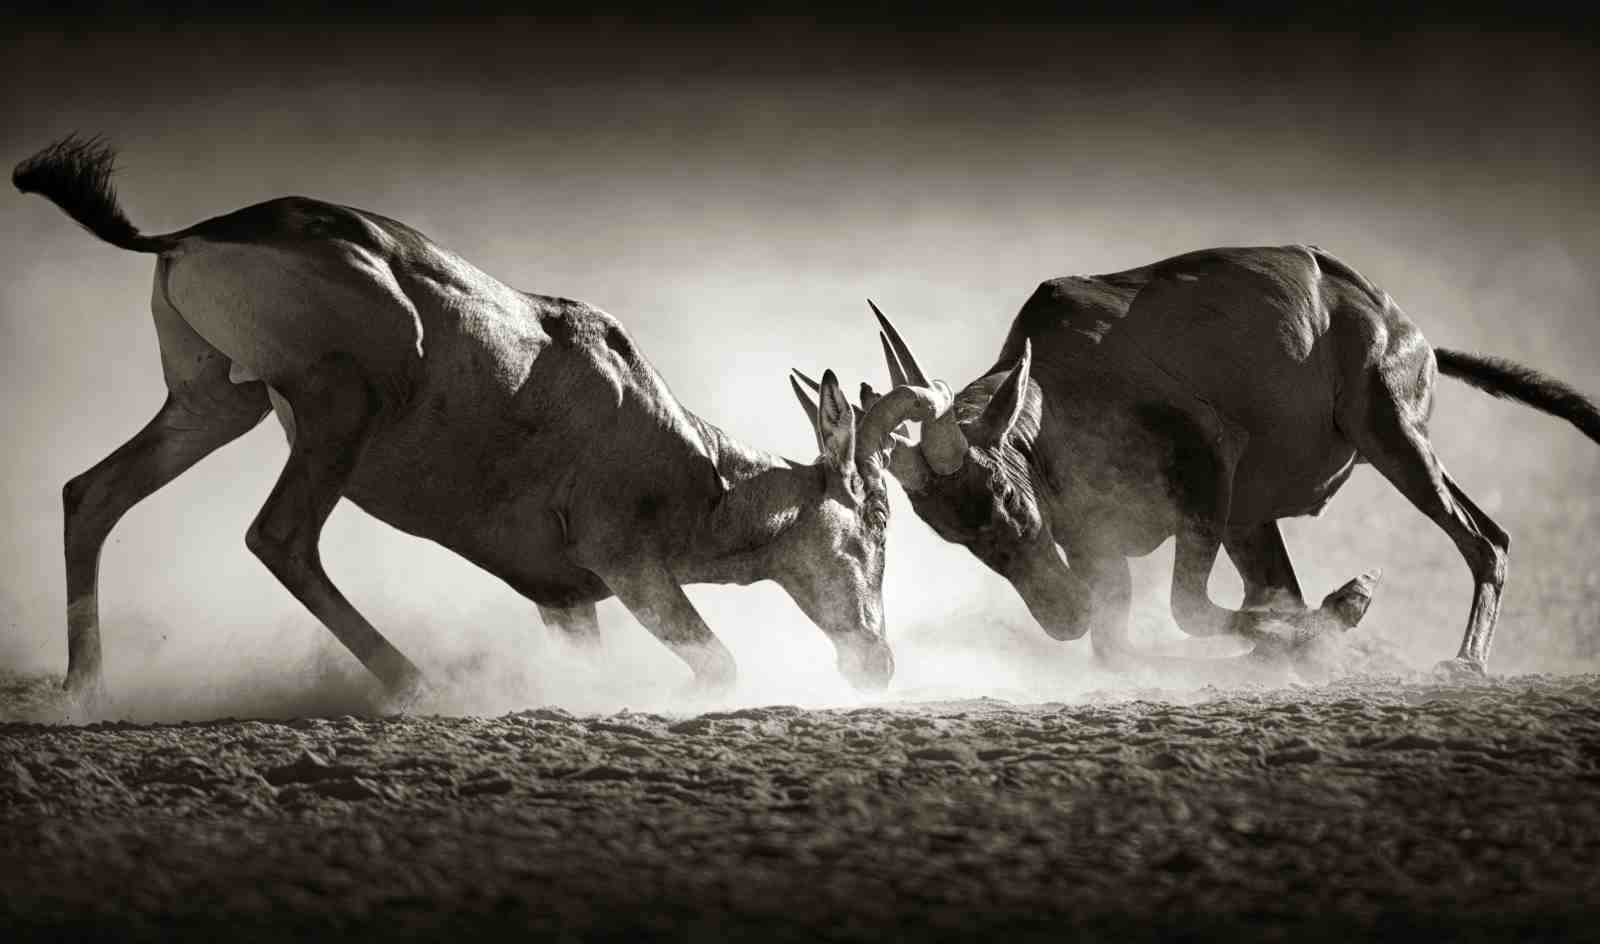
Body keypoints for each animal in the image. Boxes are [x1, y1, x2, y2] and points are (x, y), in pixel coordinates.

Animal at [14, 135, 936, 703]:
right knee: (280, 537)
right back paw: (419, 688)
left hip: (214, 402)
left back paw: (88, 694)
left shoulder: (565, 601)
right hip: (336, 407)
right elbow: (717, 668)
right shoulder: (626, 562)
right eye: (877, 518)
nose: (876, 662)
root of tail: (192, 234)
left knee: (91, 494)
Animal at [805, 249, 1600, 676]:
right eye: (951, 533)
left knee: (1484, 540)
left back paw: (1460, 662)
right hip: (1267, 513)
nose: (1061, 615)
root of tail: (1411, 329)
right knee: (1290, 590)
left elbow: (1187, 611)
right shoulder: (1102, 547)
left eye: (1006, 499)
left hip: (1392, 440)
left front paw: (1350, 604)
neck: (1060, 375)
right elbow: (1121, 647)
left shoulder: (1209, 474)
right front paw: (1314, 640)